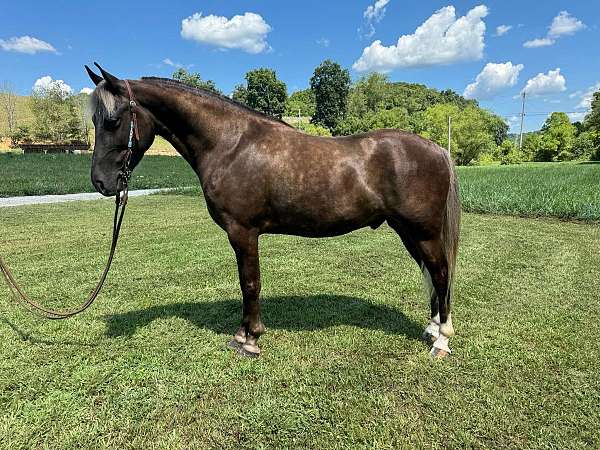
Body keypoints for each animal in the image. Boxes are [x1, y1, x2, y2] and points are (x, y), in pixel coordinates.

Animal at [84, 64, 460, 358]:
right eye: (96, 120)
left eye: (113, 120)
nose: (101, 182)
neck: (231, 143)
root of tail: (437, 149)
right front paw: (243, 334)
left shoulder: (243, 232)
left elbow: (250, 282)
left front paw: (249, 339)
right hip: (407, 231)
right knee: (430, 274)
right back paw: (432, 329)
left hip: (424, 232)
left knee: (441, 274)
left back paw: (441, 341)